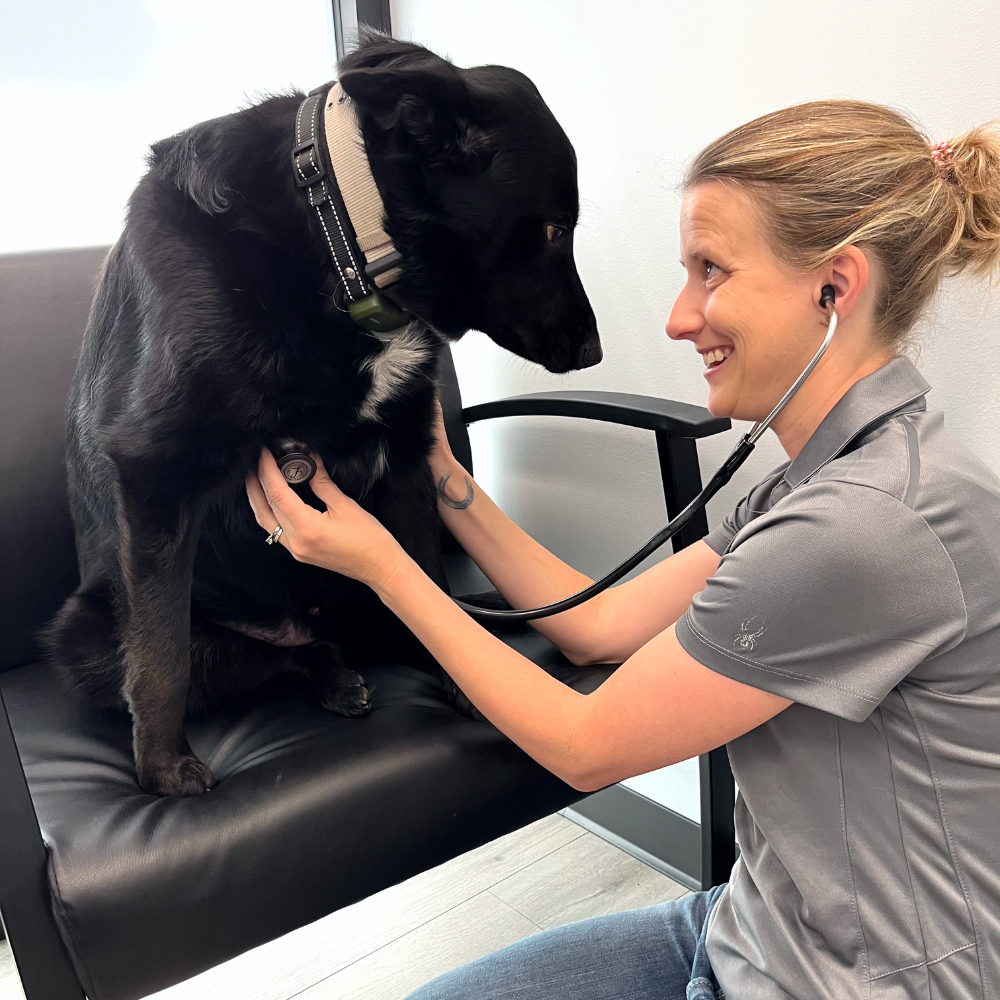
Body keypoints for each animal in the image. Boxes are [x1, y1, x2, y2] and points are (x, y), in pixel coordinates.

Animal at [47, 31, 596, 796]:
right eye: (552, 229)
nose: (595, 350)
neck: (341, 243)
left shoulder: (405, 451)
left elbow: (427, 583)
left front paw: (468, 680)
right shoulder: (155, 473)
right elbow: (161, 652)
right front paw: (160, 768)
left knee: (377, 625)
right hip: (87, 639)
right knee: (272, 655)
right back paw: (330, 676)